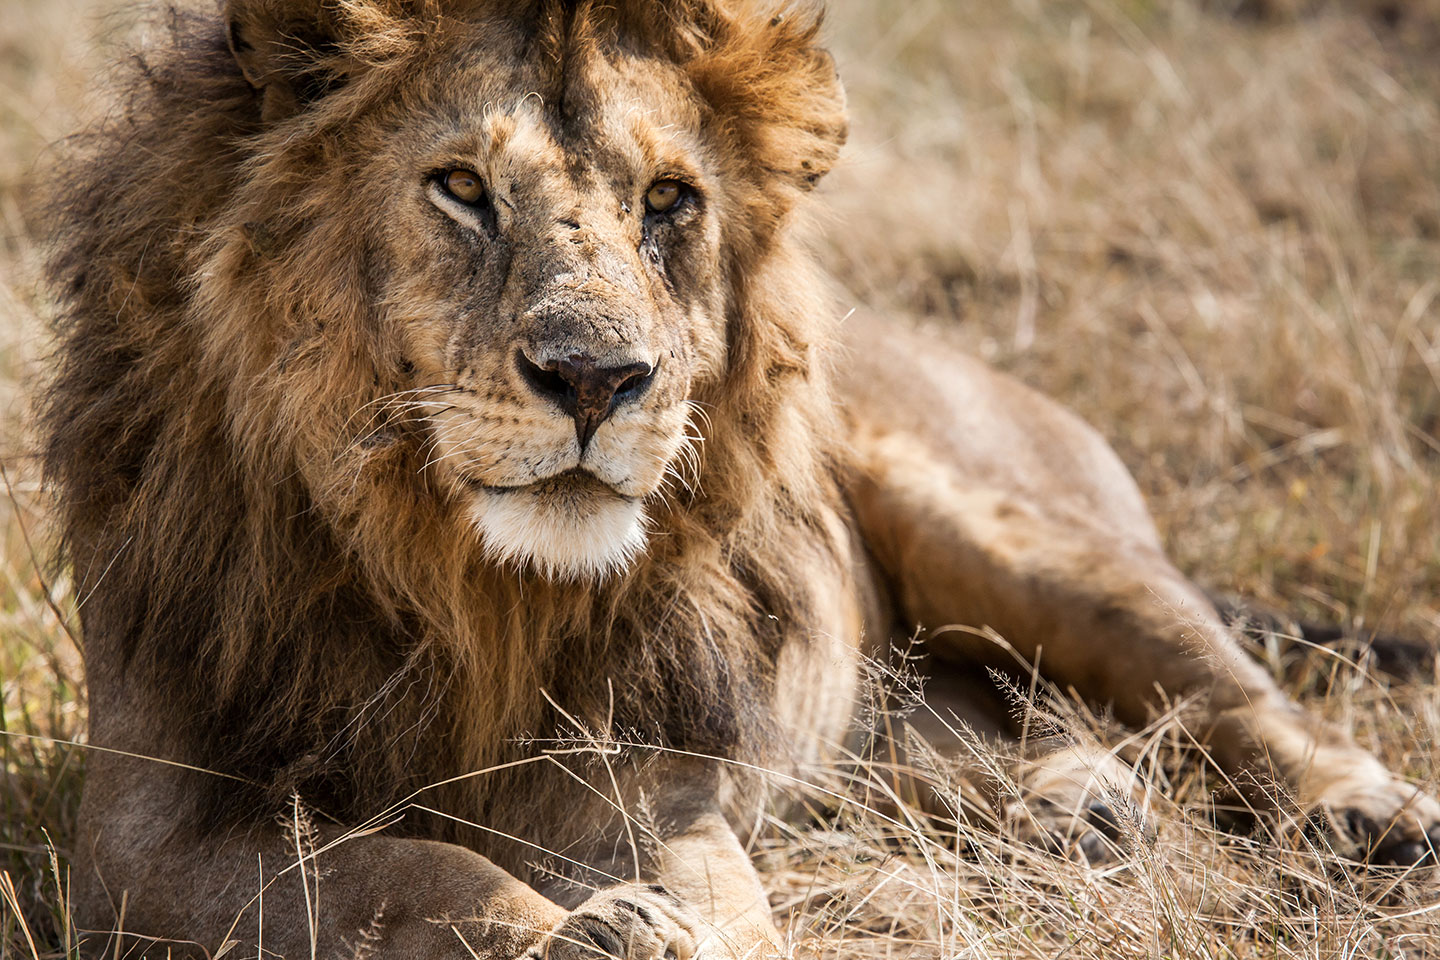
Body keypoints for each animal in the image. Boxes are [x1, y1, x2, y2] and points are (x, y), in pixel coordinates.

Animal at [40, 0, 1439, 957]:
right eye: (461, 188)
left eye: (669, 202)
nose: (598, 379)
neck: (466, 586)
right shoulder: (136, 853)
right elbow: (402, 873)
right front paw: (582, 931)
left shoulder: (653, 795)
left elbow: (682, 894)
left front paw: (633, 926)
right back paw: (1072, 806)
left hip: (1005, 531)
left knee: (1235, 695)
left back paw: (1368, 813)